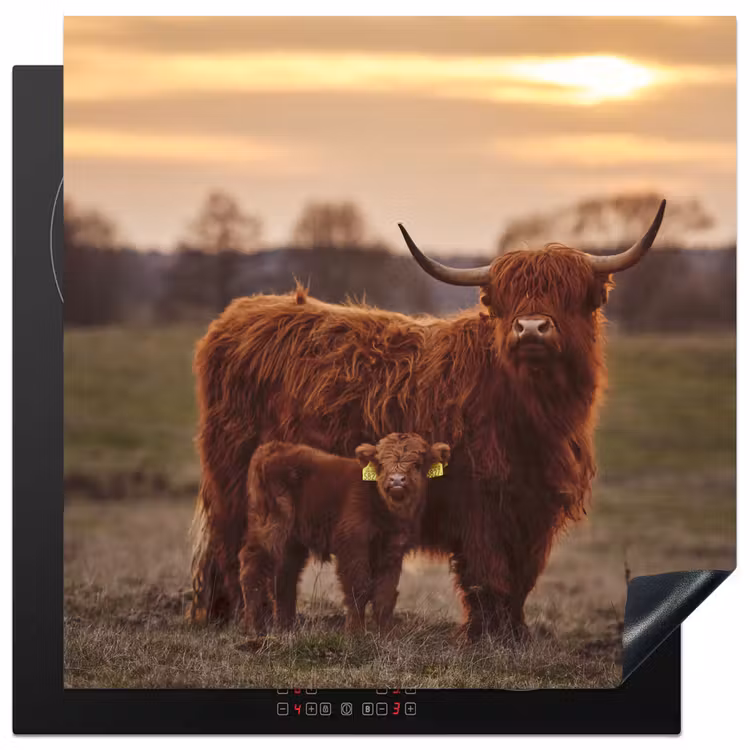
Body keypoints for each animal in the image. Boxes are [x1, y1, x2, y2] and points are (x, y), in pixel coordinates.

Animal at [239, 433, 451, 634]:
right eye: (381, 464)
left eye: (417, 464)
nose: (397, 480)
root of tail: (271, 448)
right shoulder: (353, 544)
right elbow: (359, 588)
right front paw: (355, 633)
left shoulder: (393, 549)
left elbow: (385, 594)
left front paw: (387, 635)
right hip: (271, 529)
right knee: (253, 568)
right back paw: (254, 628)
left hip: (292, 541)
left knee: (285, 576)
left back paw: (286, 628)